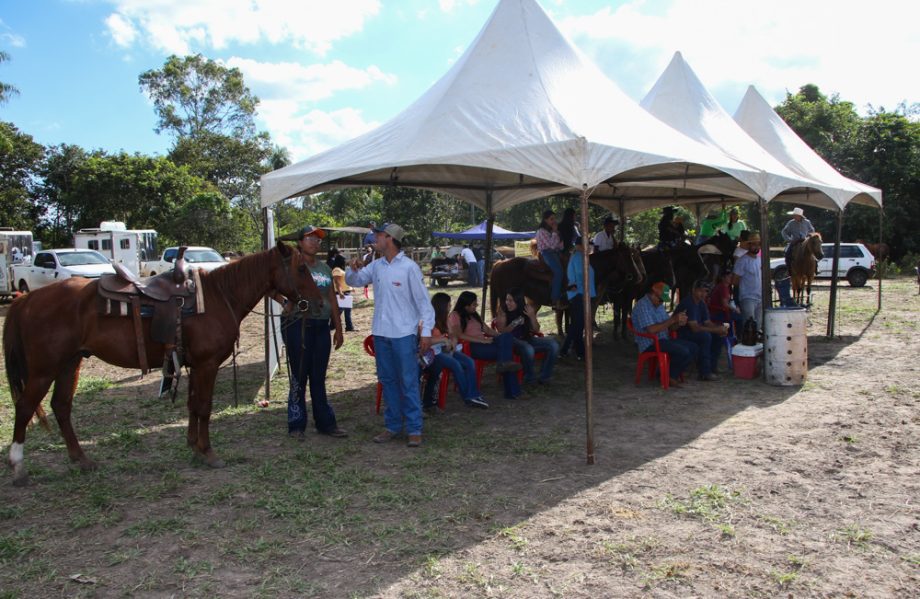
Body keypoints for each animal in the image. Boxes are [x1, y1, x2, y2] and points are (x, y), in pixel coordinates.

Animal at [4, 244, 320, 488]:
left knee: (61, 406)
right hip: (44, 370)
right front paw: (208, 452)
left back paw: (81, 459)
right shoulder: (207, 364)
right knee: (25, 407)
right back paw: (18, 468)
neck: (220, 296)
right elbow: (204, 406)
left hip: (69, 363)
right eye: (301, 269)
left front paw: (194, 446)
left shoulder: (195, 365)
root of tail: (28, 299)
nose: (316, 302)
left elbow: (193, 405)